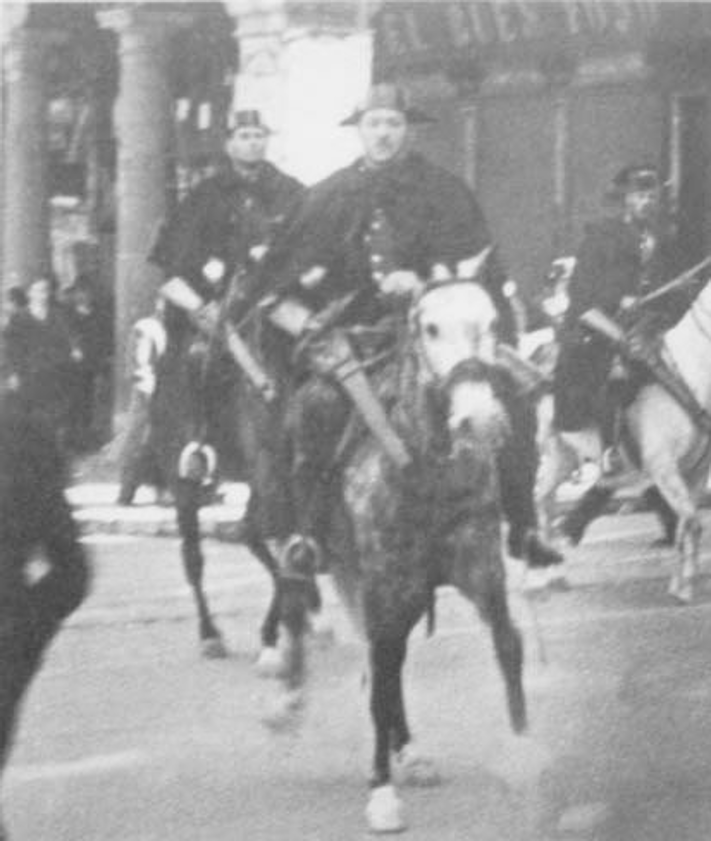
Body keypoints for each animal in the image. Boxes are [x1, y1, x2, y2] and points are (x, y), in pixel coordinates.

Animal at [288, 278, 528, 832]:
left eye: (493, 323)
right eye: (431, 328)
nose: (479, 419)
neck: (427, 472)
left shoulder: (479, 564)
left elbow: (507, 642)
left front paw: (522, 734)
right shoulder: (383, 582)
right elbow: (379, 684)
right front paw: (381, 794)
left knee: (389, 662)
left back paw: (411, 752)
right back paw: (285, 695)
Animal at [536, 278, 711, 604]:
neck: (687, 371)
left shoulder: (695, 473)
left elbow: (687, 524)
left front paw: (680, 584)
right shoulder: (662, 468)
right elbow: (692, 522)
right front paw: (684, 588)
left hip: (565, 458)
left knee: (546, 500)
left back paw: (555, 570)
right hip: (555, 451)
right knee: (540, 501)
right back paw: (541, 575)